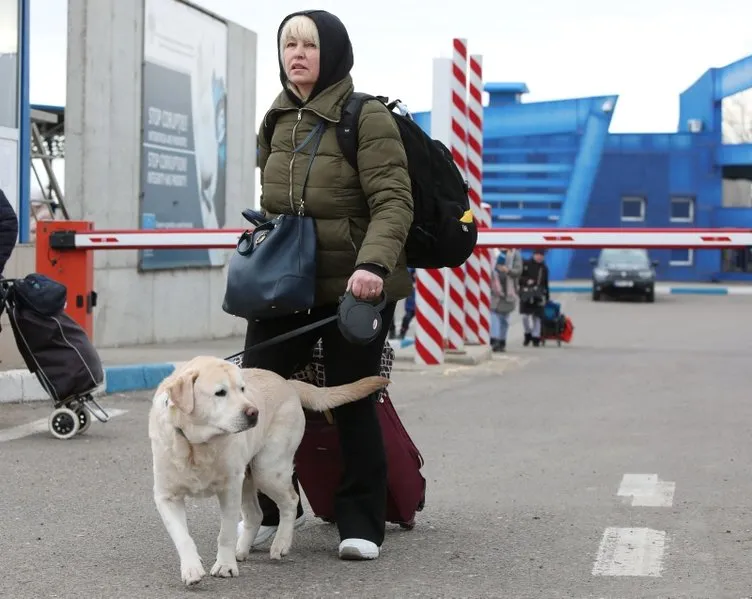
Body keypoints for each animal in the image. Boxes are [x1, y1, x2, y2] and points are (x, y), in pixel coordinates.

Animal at [148, 356, 388, 584]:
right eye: (220, 392)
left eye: (242, 389)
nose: (254, 412)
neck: (196, 445)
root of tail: (288, 383)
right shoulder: (166, 497)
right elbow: (182, 537)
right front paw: (191, 569)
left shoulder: (229, 489)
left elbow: (225, 533)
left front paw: (225, 566)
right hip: (248, 476)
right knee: (256, 514)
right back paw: (241, 549)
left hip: (267, 469)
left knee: (290, 500)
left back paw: (280, 544)